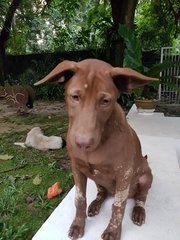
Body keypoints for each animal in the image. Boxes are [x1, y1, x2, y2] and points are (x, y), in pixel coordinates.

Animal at [34, 59, 154, 240]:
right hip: (96, 179)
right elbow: (79, 198)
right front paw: (78, 224)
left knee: (141, 196)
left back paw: (138, 211)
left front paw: (113, 231)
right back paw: (95, 204)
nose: (83, 143)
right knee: (101, 192)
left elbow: (118, 205)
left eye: (105, 101)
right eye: (75, 97)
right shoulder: (77, 168)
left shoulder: (124, 173)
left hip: (146, 177)